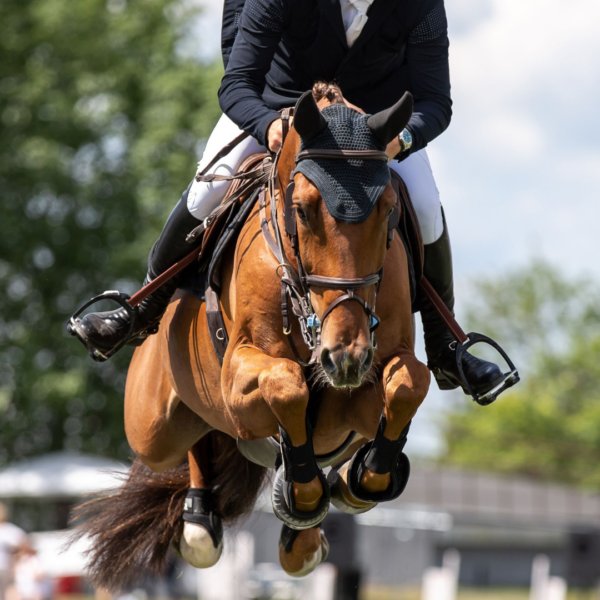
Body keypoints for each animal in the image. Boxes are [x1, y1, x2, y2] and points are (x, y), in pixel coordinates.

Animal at [74, 84, 432, 592]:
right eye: (302, 209)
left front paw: (363, 477)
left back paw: (307, 528)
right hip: (152, 429)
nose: (344, 356)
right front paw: (304, 493)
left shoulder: (361, 391)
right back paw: (200, 523)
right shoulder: (239, 383)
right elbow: (287, 384)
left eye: (388, 211)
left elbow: (408, 384)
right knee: (193, 438)